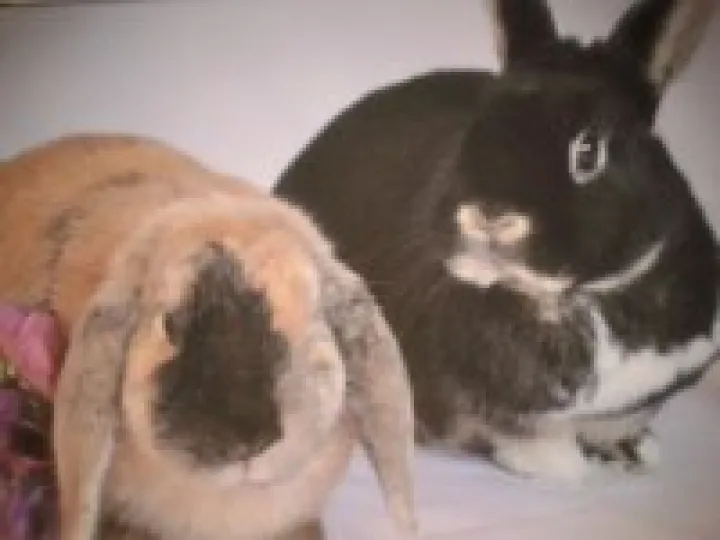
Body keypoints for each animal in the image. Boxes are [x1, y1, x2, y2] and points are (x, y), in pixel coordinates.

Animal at [275, 0, 720, 482]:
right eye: (475, 129)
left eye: (589, 150)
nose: (490, 212)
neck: (569, 300)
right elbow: (529, 438)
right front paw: (564, 471)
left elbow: (620, 423)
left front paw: (633, 454)